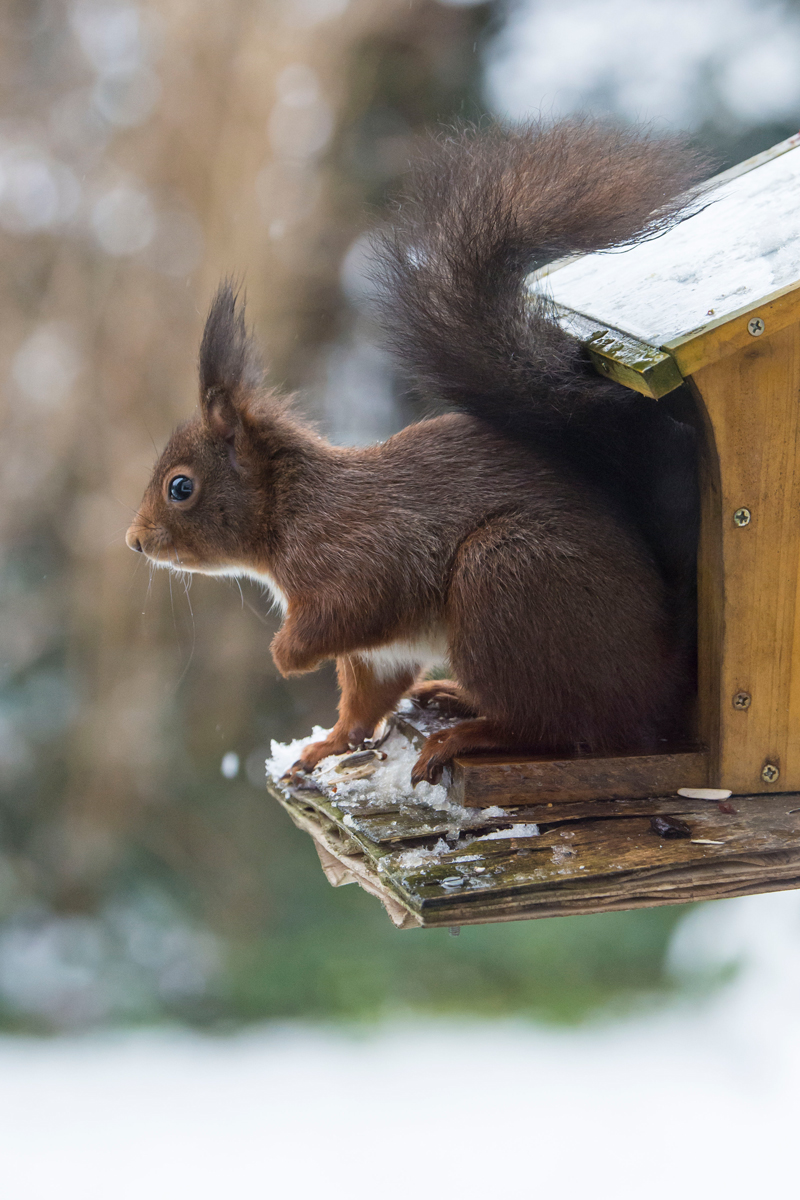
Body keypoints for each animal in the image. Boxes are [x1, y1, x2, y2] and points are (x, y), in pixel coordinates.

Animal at [126, 119, 707, 786]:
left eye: (180, 487)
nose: (135, 541)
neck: (289, 510)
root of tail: (658, 678)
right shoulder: (373, 653)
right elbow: (365, 698)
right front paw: (328, 746)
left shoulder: (360, 553)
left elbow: (356, 606)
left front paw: (285, 655)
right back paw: (453, 700)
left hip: (507, 579)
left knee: (555, 725)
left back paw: (468, 734)